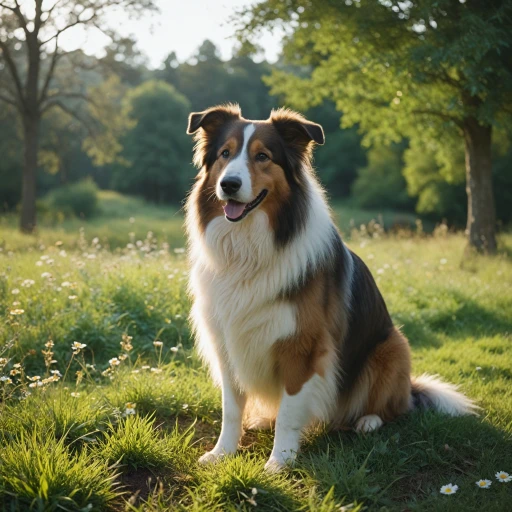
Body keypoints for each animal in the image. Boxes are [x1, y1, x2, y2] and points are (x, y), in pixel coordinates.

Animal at [186, 104, 478, 472]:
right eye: (225, 153)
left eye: (263, 156)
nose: (229, 184)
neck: (249, 247)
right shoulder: (228, 342)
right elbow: (231, 409)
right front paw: (222, 453)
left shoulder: (302, 347)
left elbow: (290, 412)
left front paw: (280, 462)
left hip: (392, 346)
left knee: (394, 409)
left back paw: (368, 420)